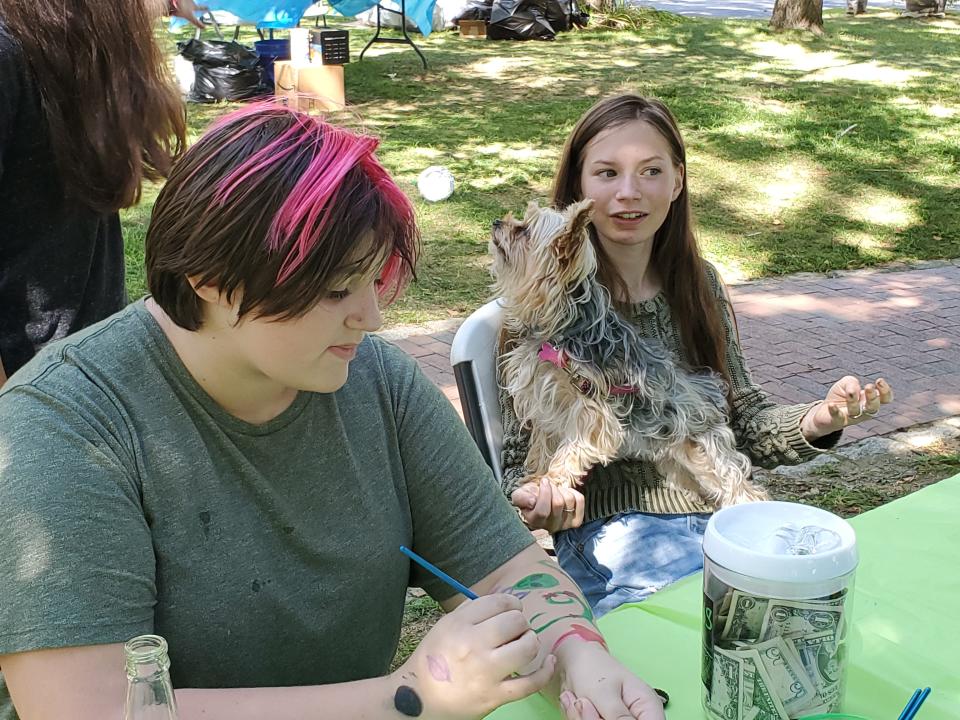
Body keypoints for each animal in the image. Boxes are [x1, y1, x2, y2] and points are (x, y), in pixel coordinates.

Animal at [492, 200, 768, 510]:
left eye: (524, 231)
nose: (496, 222)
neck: (563, 327)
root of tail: (706, 390)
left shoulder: (593, 413)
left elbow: (571, 450)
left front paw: (551, 480)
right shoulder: (547, 404)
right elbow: (542, 444)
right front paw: (535, 477)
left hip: (704, 450)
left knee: (736, 484)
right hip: (674, 456)